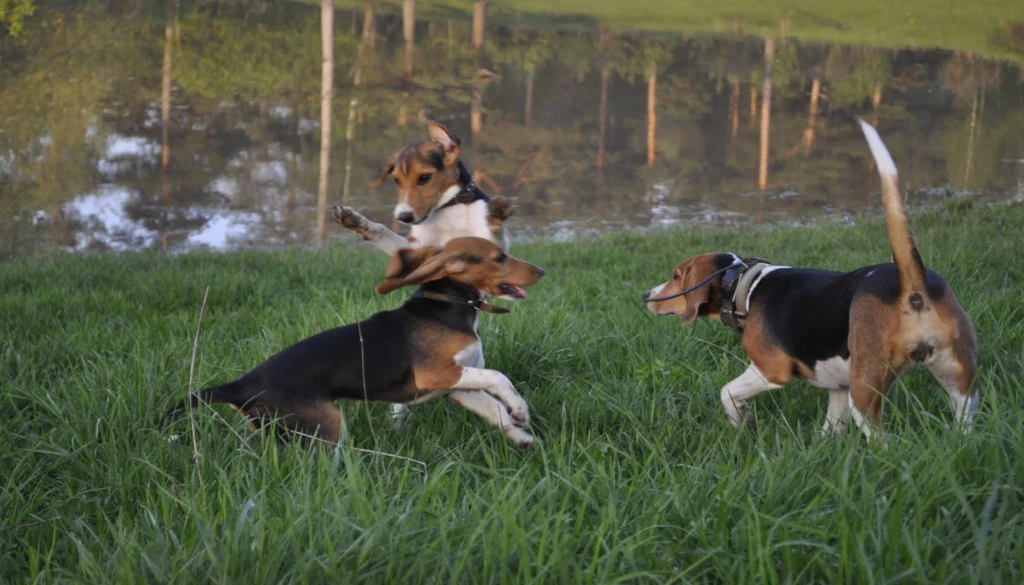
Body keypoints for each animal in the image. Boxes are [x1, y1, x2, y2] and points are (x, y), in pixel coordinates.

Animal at [643, 120, 978, 438]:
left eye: (676, 276)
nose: (646, 295)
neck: (744, 286)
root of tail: (912, 288)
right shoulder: (838, 387)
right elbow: (830, 429)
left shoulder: (771, 370)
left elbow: (728, 392)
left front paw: (742, 423)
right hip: (959, 380)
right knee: (964, 420)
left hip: (865, 391)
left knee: (882, 440)